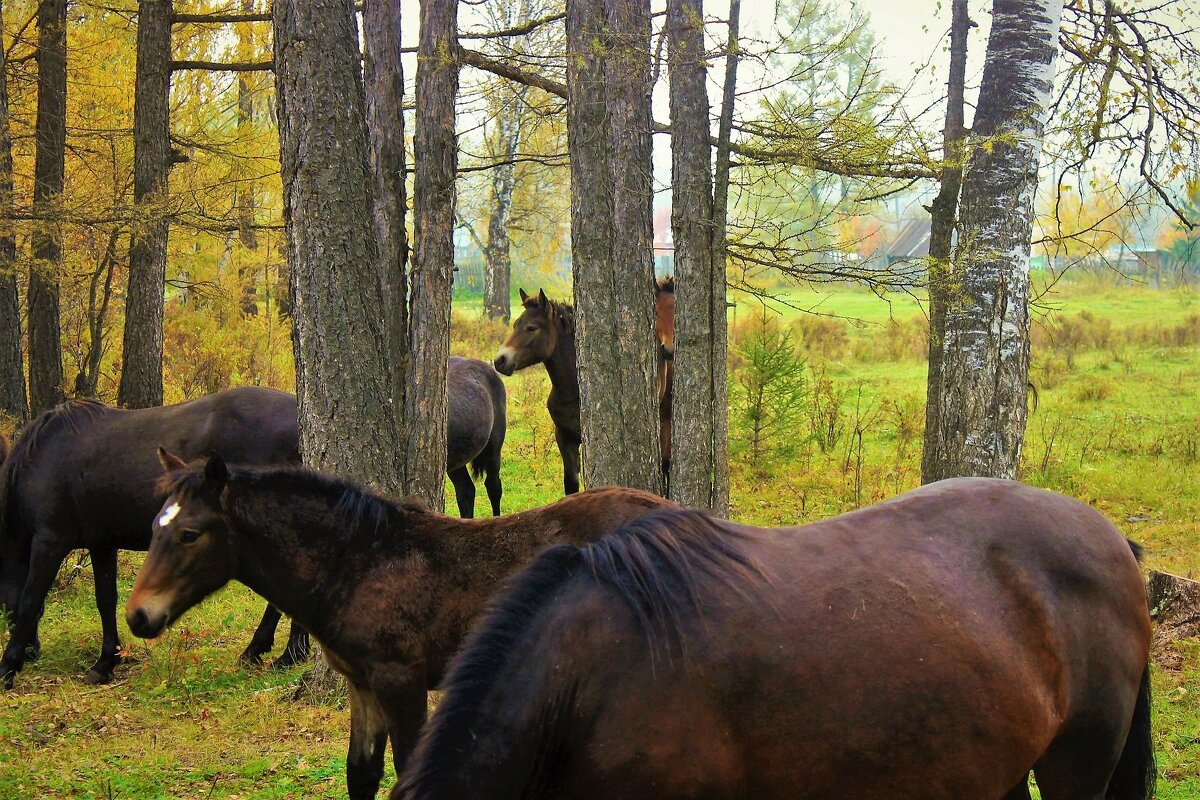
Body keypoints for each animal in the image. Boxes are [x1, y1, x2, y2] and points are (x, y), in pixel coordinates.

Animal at [0, 388, 300, 690]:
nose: (33, 652)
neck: (43, 457)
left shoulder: (49, 541)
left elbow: (29, 601)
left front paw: (7, 667)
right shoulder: (102, 544)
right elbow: (105, 600)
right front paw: (106, 662)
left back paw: (282, 653)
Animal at [130, 453, 676, 800]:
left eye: (189, 534)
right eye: (153, 527)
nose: (138, 616)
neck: (360, 563)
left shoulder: (401, 680)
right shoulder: (363, 684)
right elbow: (362, 774)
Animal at [489, 281, 676, 494]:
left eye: (531, 328)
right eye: (515, 326)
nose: (500, 360)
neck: (571, 390)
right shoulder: (564, 437)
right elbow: (570, 482)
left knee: (665, 462)